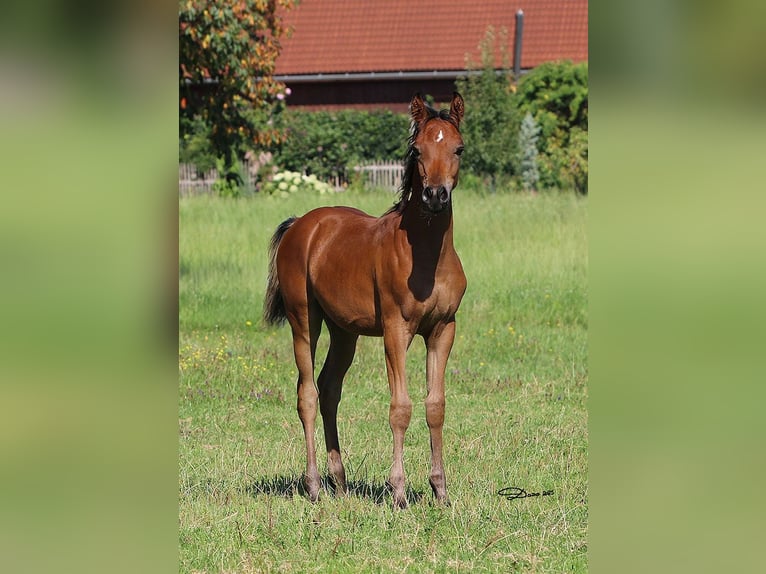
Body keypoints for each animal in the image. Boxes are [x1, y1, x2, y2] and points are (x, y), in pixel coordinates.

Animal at [263, 92, 467, 508]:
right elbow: (400, 407)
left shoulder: (443, 329)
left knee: (329, 389)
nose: (435, 196)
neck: (428, 258)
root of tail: (301, 225)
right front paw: (399, 491)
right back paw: (314, 485)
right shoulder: (395, 330)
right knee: (307, 394)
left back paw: (339, 481)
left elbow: (435, 405)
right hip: (304, 320)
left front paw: (440, 490)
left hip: (345, 332)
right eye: (417, 149)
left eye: (458, 148)